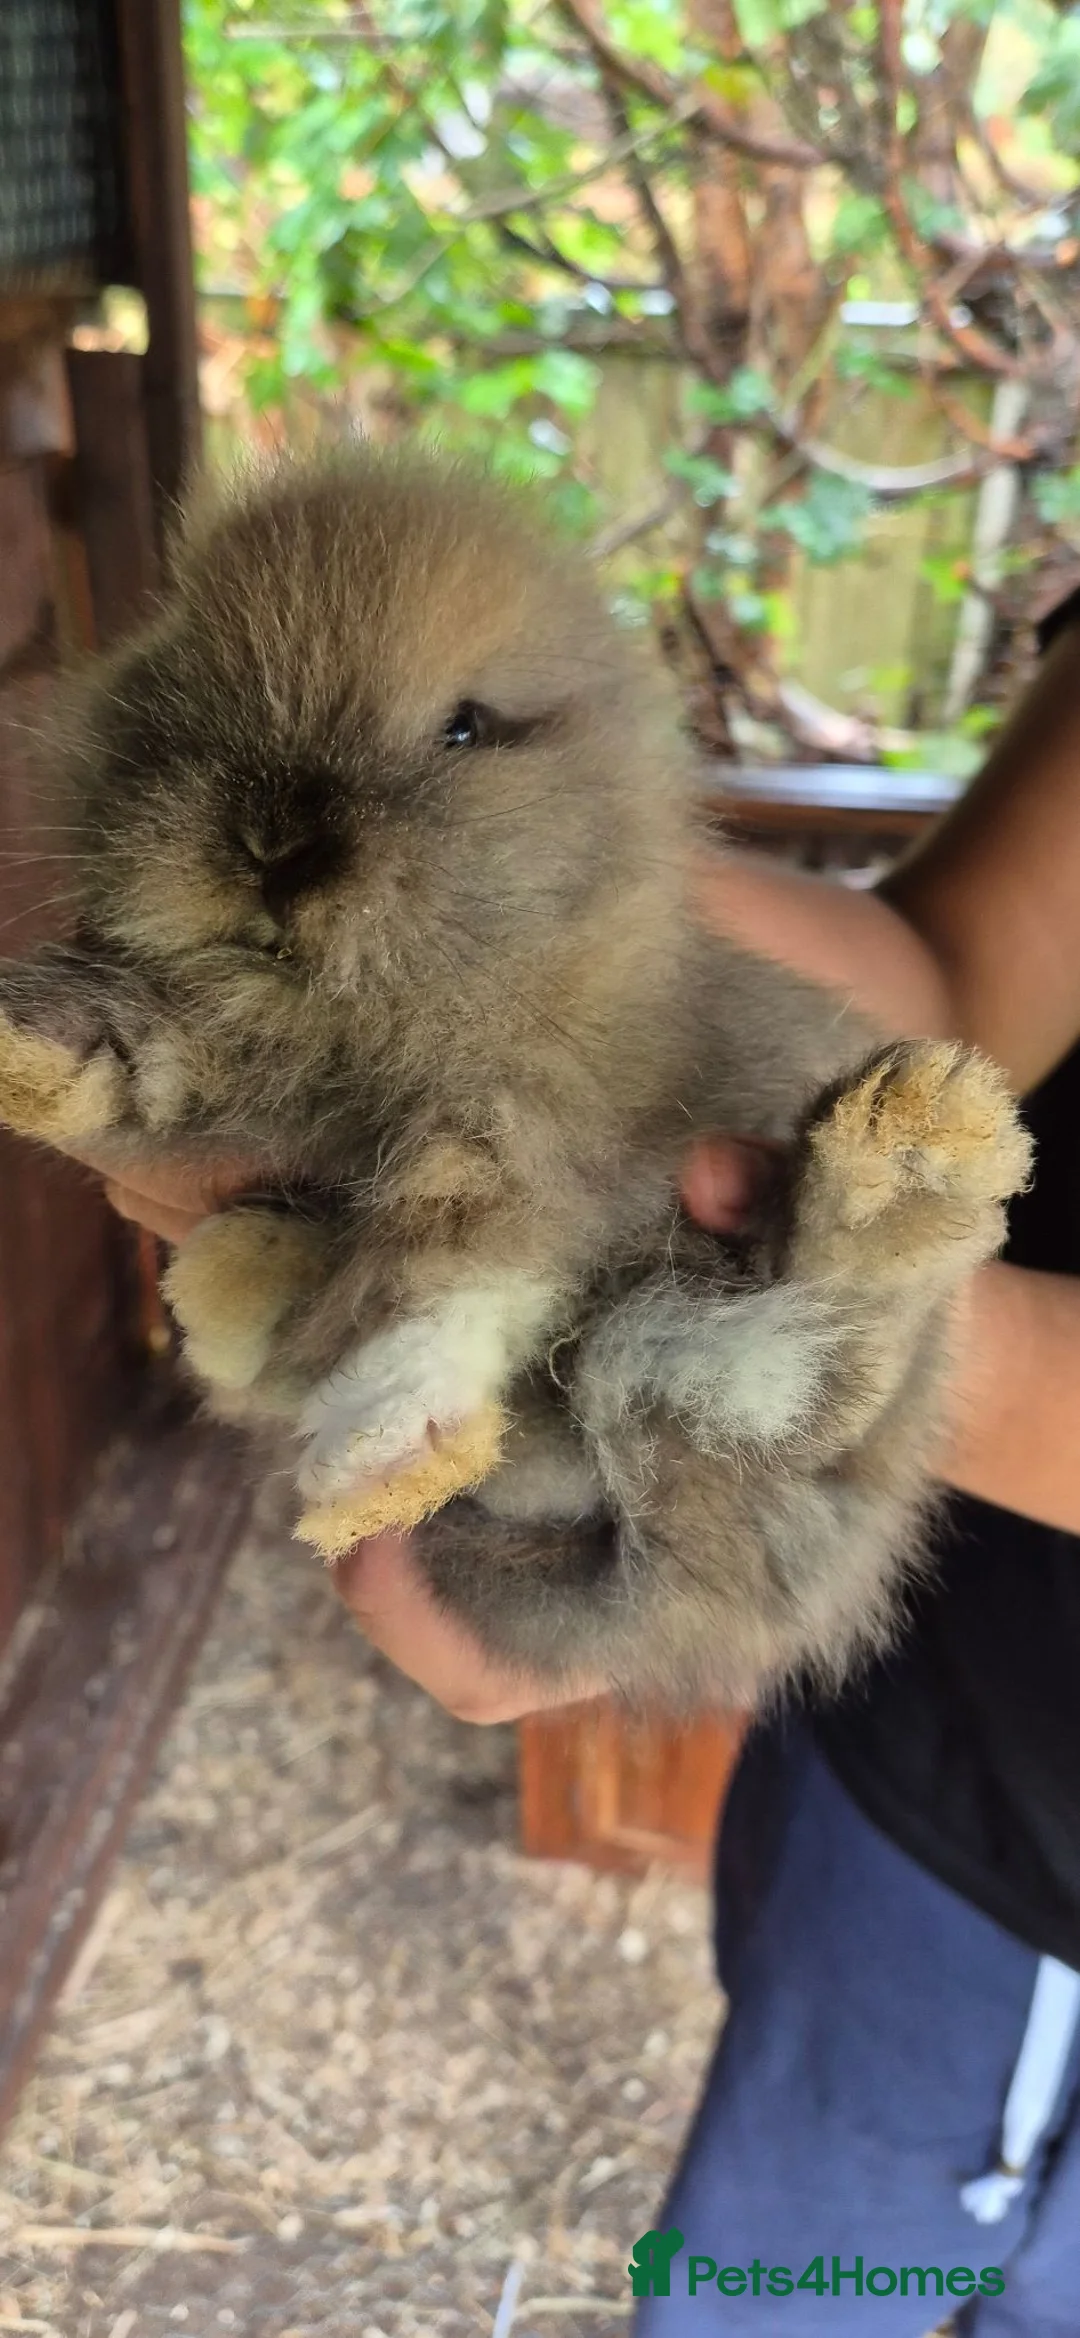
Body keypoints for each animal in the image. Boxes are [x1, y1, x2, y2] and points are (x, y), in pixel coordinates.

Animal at [0, 445, 1031, 1712]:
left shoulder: (526, 1135)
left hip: (823, 1407)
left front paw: (384, 1458)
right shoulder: (227, 1055)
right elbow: (138, 1054)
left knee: (810, 1382)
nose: (275, 848)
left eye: (465, 730)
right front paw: (31, 1048)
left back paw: (905, 1169)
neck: (364, 1021)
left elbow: (456, 1283)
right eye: (184, 679)